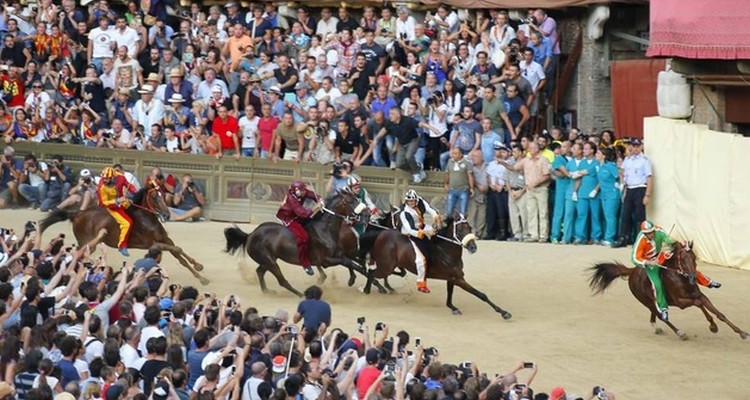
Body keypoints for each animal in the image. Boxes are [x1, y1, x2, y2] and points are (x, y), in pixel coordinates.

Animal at [40, 181, 209, 284]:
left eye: (163, 194)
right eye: (155, 197)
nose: (167, 215)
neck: (146, 217)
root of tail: (77, 214)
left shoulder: (165, 239)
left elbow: (180, 255)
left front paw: (200, 272)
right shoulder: (153, 244)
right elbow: (177, 249)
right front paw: (200, 272)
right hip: (87, 243)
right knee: (79, 254)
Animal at [226, 191, 374, 296]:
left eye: (357, 198)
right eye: (350, 201)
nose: (367, 214)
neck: (325, 230)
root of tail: (250, 235)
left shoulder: (340, 254)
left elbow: (356, 265)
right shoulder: (327, 260)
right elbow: (350, 263)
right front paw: (363, 282)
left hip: (268, 260)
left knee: (260, 272)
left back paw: (267, 291)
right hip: (269, 261)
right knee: (282, 281)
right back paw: (301, 294)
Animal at [362, 212, 516, 318]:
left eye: (470, 228)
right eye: (460, 230)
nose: (473, 247)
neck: (446, 251)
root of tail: (381, 233)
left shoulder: (452, 277)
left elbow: (450, 296)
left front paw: (453, 308)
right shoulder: (459, 279)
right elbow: (481, 294)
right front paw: (504, 313)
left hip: (389, 264)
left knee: (377, 271)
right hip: (386, 265)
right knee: (371, 271)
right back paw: (367, 289)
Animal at [592, 241, 748, 340]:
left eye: (694, 258)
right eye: (683, 259)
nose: (693, 277)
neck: (681, 279)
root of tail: (631, 271)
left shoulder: (700, 295)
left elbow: (718, 313)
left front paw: (742, 332)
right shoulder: (681, 302)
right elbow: (699, 304)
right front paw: (713, 326)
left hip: (652, 302)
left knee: (656, 315)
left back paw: (657, 328)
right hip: (645, 301)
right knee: (662, 316)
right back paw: (679, 333)